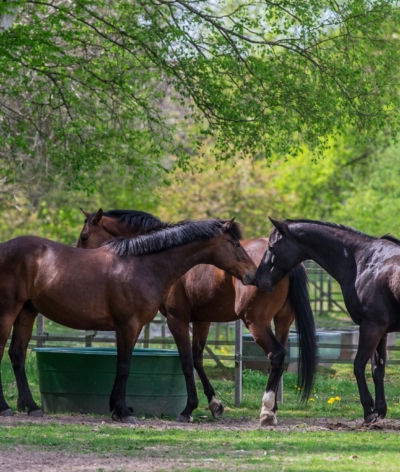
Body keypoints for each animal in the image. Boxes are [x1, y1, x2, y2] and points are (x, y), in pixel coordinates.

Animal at [2, 216, 256, 422]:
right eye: (235, 244)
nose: (252, 274)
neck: (142, 265)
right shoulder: (130, 326)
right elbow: (125, 366)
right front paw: (124, 411)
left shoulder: (133, 328)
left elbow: (122, 365)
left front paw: (116, 409)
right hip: (7, 313)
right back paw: (5, 407)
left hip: (26, 313)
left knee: (17, 354)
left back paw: (31, 406)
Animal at [76, 208, 318, 426]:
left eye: (84, 236)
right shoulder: (202, 321)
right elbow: (198, 358)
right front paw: (214, 403)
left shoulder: (177, 320)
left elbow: (186, 361)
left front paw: (188, 409)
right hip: (282, 322)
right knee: (280, 359)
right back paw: (273, 409)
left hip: (256, 323)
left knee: (276, 354)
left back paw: (266, 411)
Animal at [255, 218, 400, 424]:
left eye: (271, 247)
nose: (259, 280)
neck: (364, 261)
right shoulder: (382, 330)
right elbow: (377, 369)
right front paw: (379, 409)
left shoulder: (371, 327)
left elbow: (358, 366)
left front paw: (368, 411)